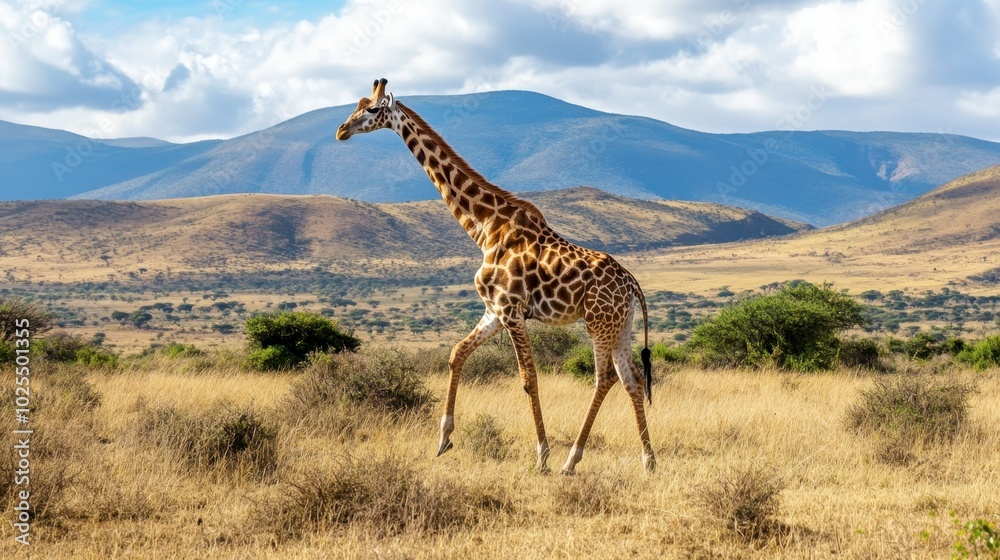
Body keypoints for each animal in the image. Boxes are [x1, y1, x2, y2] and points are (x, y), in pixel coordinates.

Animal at [336, 78, 655, 474]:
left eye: (371, 109)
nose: (341, 130)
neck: (485, 227)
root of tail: (633, 286)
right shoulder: (494, 310)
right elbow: (457, 353)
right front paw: (443, 439)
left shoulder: (511, 309)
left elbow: (529, 379)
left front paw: (542, 454)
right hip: (620, 325)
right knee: (633, 379)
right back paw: (648, 460)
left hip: (598, 322)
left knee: (605, 378)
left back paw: (570, 460)